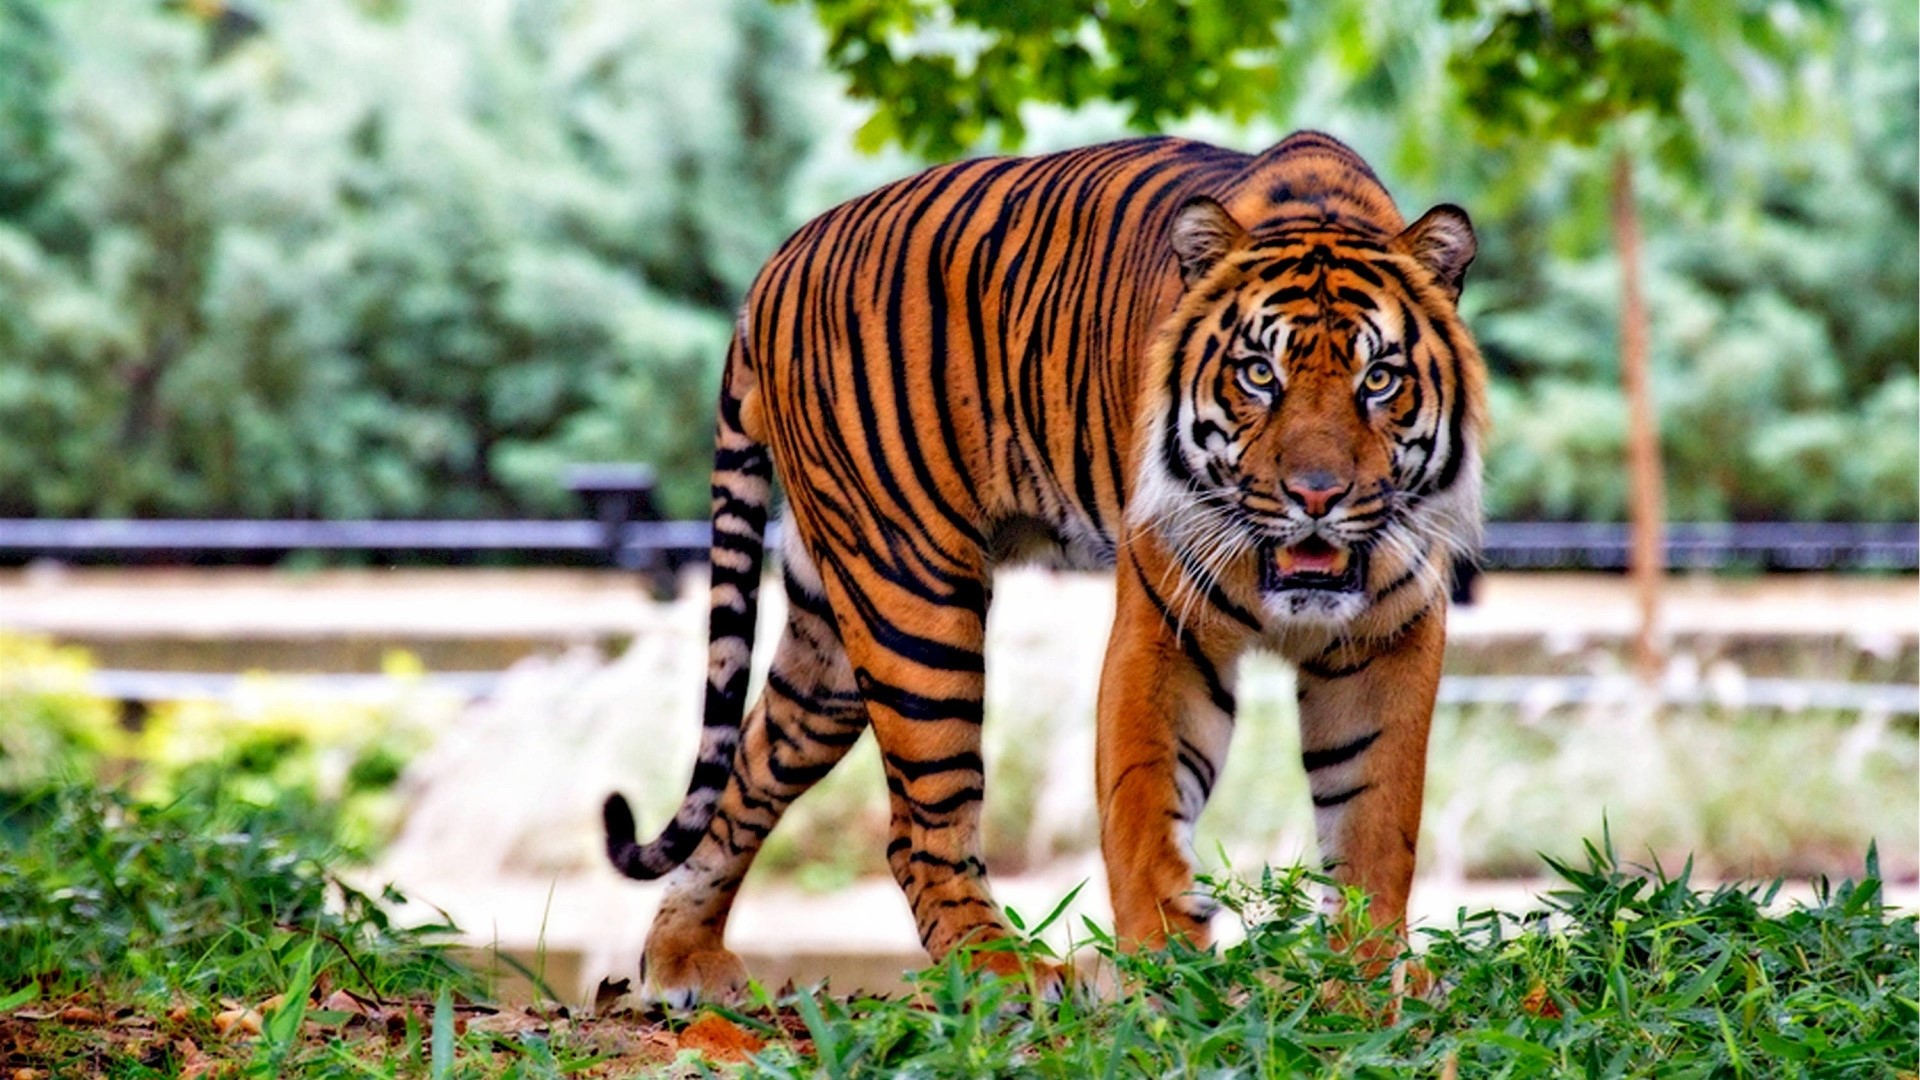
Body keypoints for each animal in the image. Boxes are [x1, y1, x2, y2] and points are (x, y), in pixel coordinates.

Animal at [602, 130, 1486, 1004]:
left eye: (1379, 379)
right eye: (1258, 375)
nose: (1316, 495)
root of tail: (777, 261)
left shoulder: (1392, 637)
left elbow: (1375, 822)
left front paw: (1362, 979)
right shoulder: (1163, 628)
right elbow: (1145, 808)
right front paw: (1169, 980)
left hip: (831, 640)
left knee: (751, 767)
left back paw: (682, 958)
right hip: (913, 598)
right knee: (918, 829)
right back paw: (1006, 973)